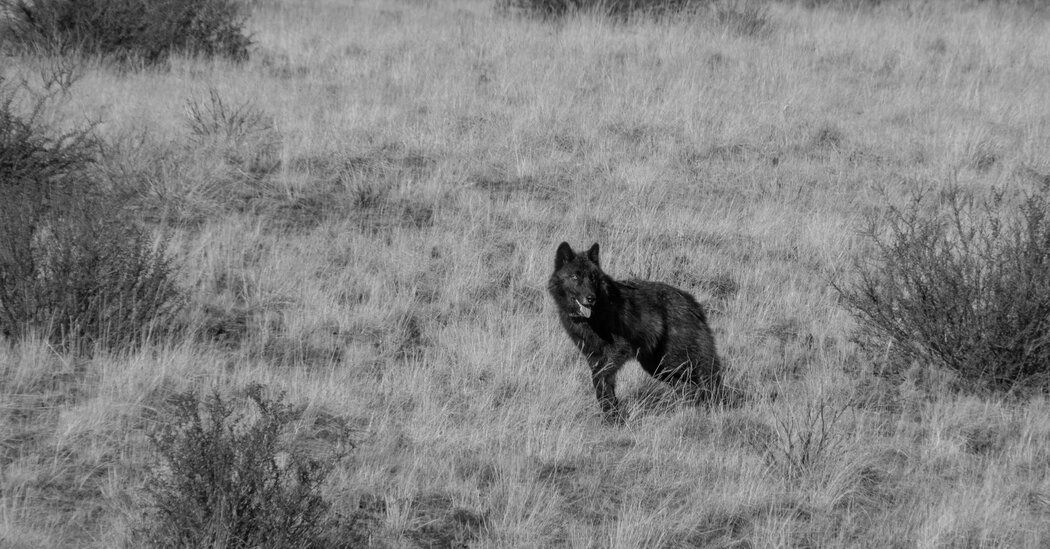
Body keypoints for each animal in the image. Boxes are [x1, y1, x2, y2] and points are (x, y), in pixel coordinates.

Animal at [548, 242, 723, 423]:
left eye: (593, 278)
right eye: (575, 277)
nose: (591, 298)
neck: (592, 317)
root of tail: (692, 302)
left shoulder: (618, 350)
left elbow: (598, 378)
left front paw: (613, 417)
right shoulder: (593, 357)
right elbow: (604, 387)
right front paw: (612, 416)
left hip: (677, 361)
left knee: (708, 380)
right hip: (658, 367)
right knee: (687, 388)